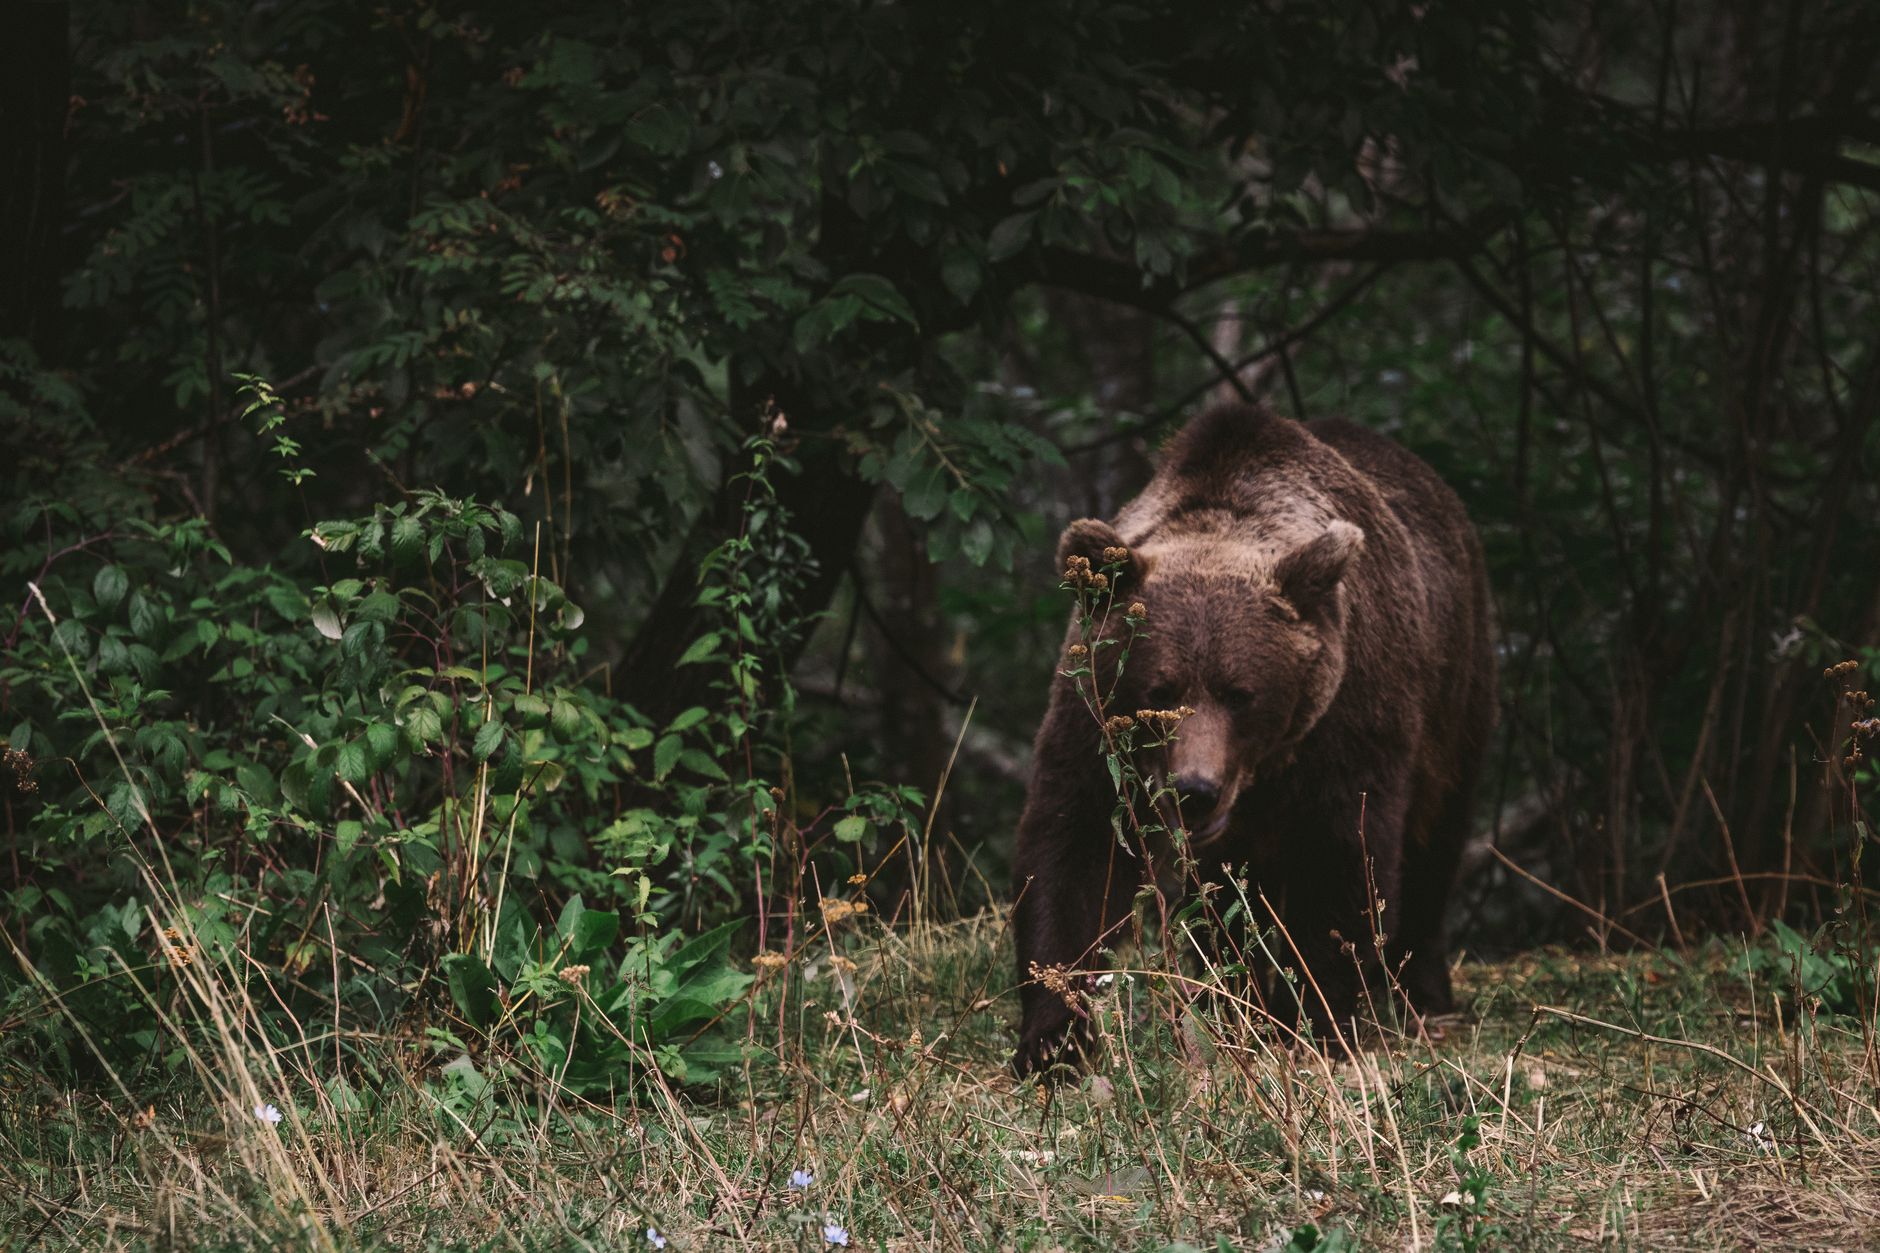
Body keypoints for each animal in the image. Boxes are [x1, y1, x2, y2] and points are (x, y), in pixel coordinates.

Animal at [1012, 402, 1496, 1076]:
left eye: (1241, 692)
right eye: (1159, 690)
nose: (1195, 790)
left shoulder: (1349, 721)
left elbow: (1343, 857)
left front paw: (1311, 1019)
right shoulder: (1093, 721)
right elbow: (1075, 846)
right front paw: (1054, 1037)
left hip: (1456, 685)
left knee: (1436, 836)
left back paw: (1421, 989)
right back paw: (1224, 995)